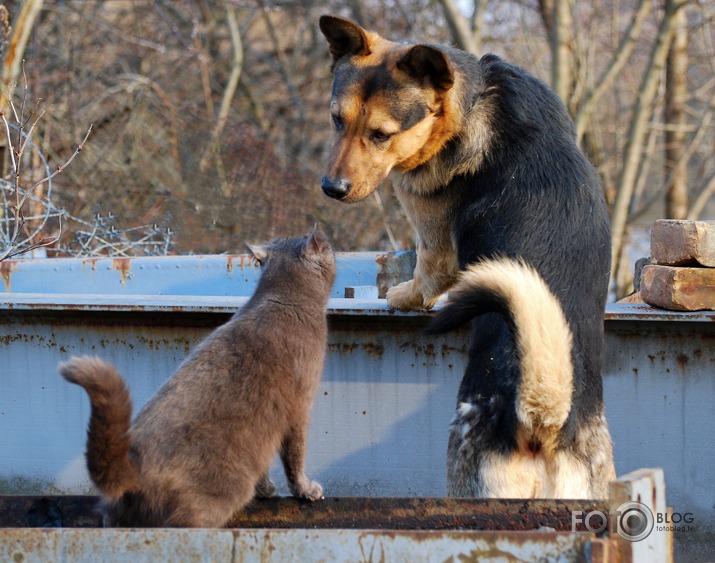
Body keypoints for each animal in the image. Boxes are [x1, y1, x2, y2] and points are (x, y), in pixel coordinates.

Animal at [59, 229, 336, 528]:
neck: (282, 295)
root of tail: (133, 468)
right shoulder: (299, 408)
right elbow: (295, 457)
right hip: (213, 497)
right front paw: (306, 491)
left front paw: (265, 490)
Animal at [318, 15, 616, 498]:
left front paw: (401, 295)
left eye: (381, 135)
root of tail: (542, 421)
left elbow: (427, 275)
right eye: (336, 120)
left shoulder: (431, 233)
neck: (471, 102)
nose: (332, 188)